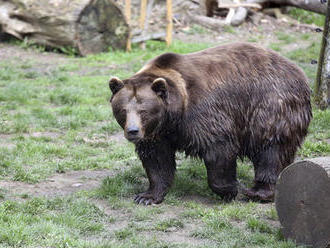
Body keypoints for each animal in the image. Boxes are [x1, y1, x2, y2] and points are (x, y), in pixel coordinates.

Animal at [109, 42, 312, 205]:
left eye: (144, 111)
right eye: (123, 110)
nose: (133, 131)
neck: (175, 115)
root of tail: (297, 70)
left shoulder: (204, 114)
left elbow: (218, 149)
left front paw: (230, 190)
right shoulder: (157, 134)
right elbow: (157, 160)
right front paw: (147, 196)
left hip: (271, 105)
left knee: (271, 148)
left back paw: (259, 191)